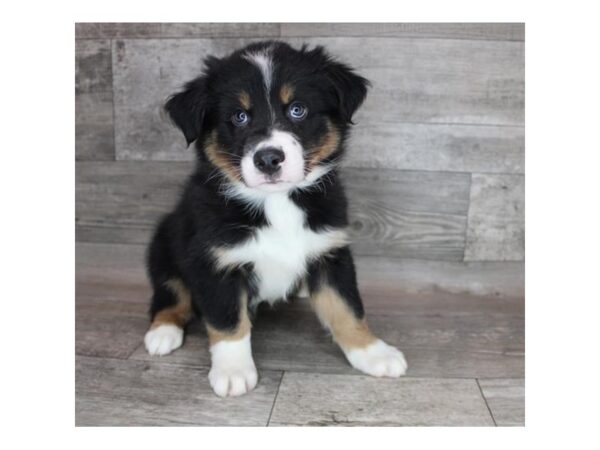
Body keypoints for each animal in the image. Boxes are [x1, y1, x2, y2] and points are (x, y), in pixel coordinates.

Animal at [144, 41, 408, 398]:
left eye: (297, 109)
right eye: (239, 116)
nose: (268, 158)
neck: (278, 203)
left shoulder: (330, 251)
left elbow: (347, 307)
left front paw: (372, 352)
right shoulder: (214, 261)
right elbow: (228, 320)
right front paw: (233, 371)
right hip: (164, 242)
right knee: (170, 292)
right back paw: (163, 331)